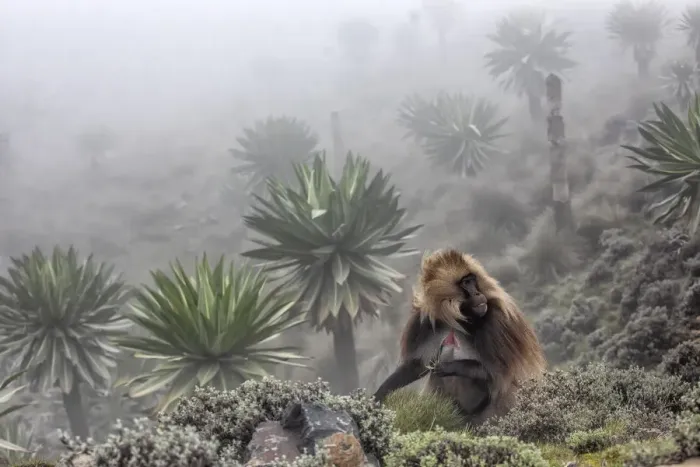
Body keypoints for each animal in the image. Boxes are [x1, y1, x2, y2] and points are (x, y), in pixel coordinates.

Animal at [373, 248, 547, 426]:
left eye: (472, 280)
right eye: (466, 283)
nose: (477, 293)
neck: (458, 317)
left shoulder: (496, 322)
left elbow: (498, 373)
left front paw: (446, 366)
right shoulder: (425, 322)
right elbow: (417, 366)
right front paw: (378, 397)